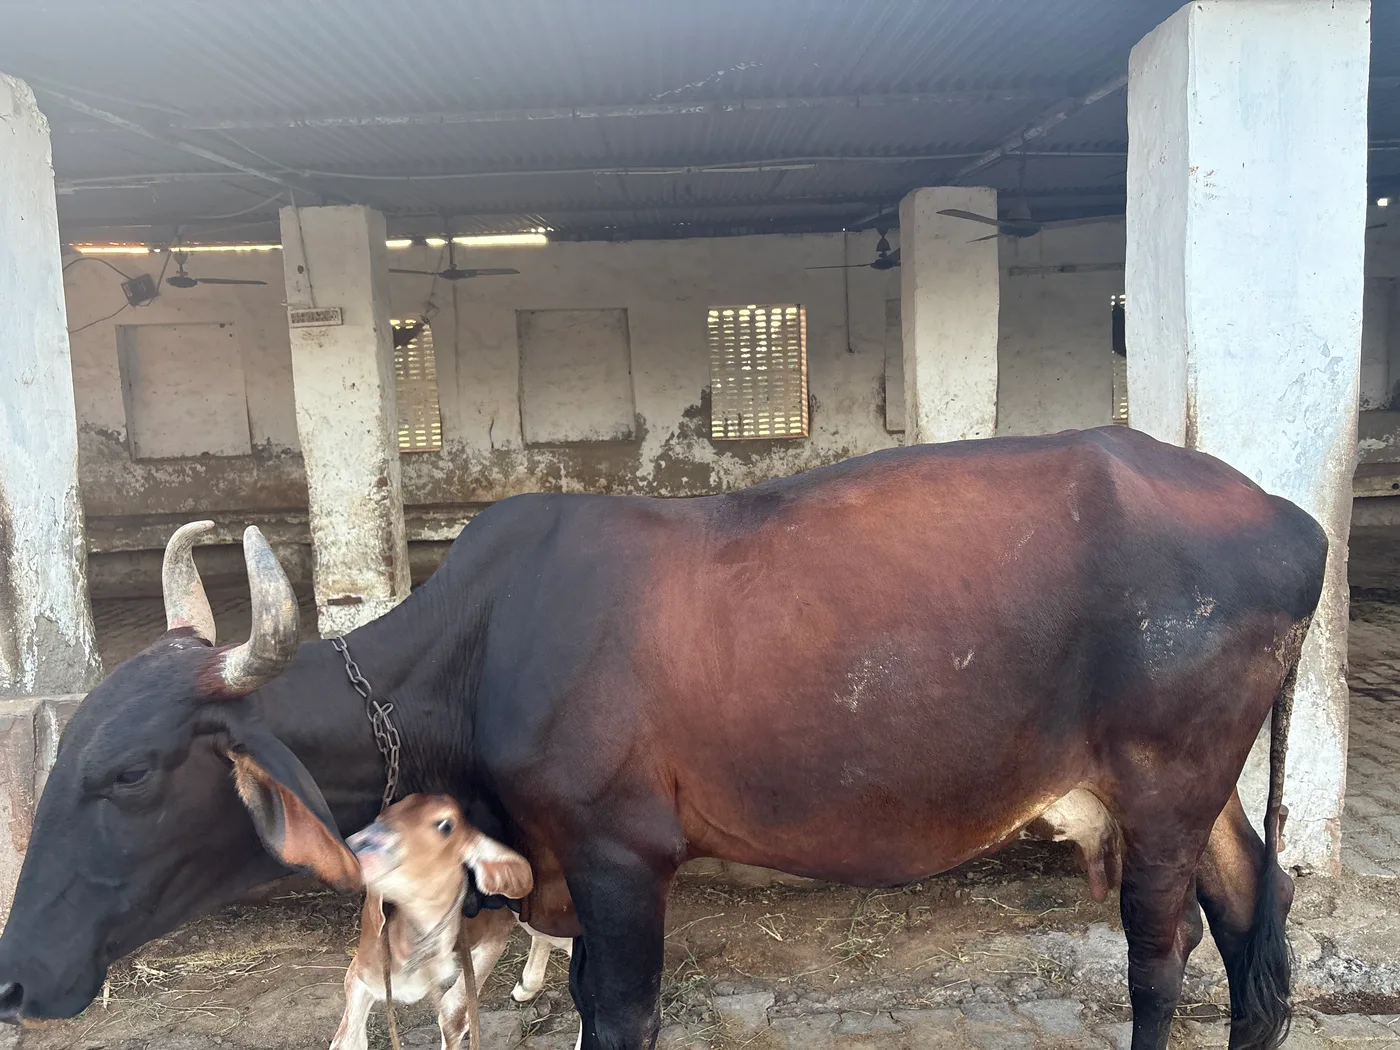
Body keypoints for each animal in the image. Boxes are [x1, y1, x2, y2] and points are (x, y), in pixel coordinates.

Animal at [0, 427, 1326, 1050]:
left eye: (129, 772)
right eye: (65, 764)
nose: (15, 975)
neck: (480, 648)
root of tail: (1286, 519)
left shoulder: (620, 860)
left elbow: (620, 1015)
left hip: (1159, 791)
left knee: (1162, 960)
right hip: (1197, 795)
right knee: (1253, 921)